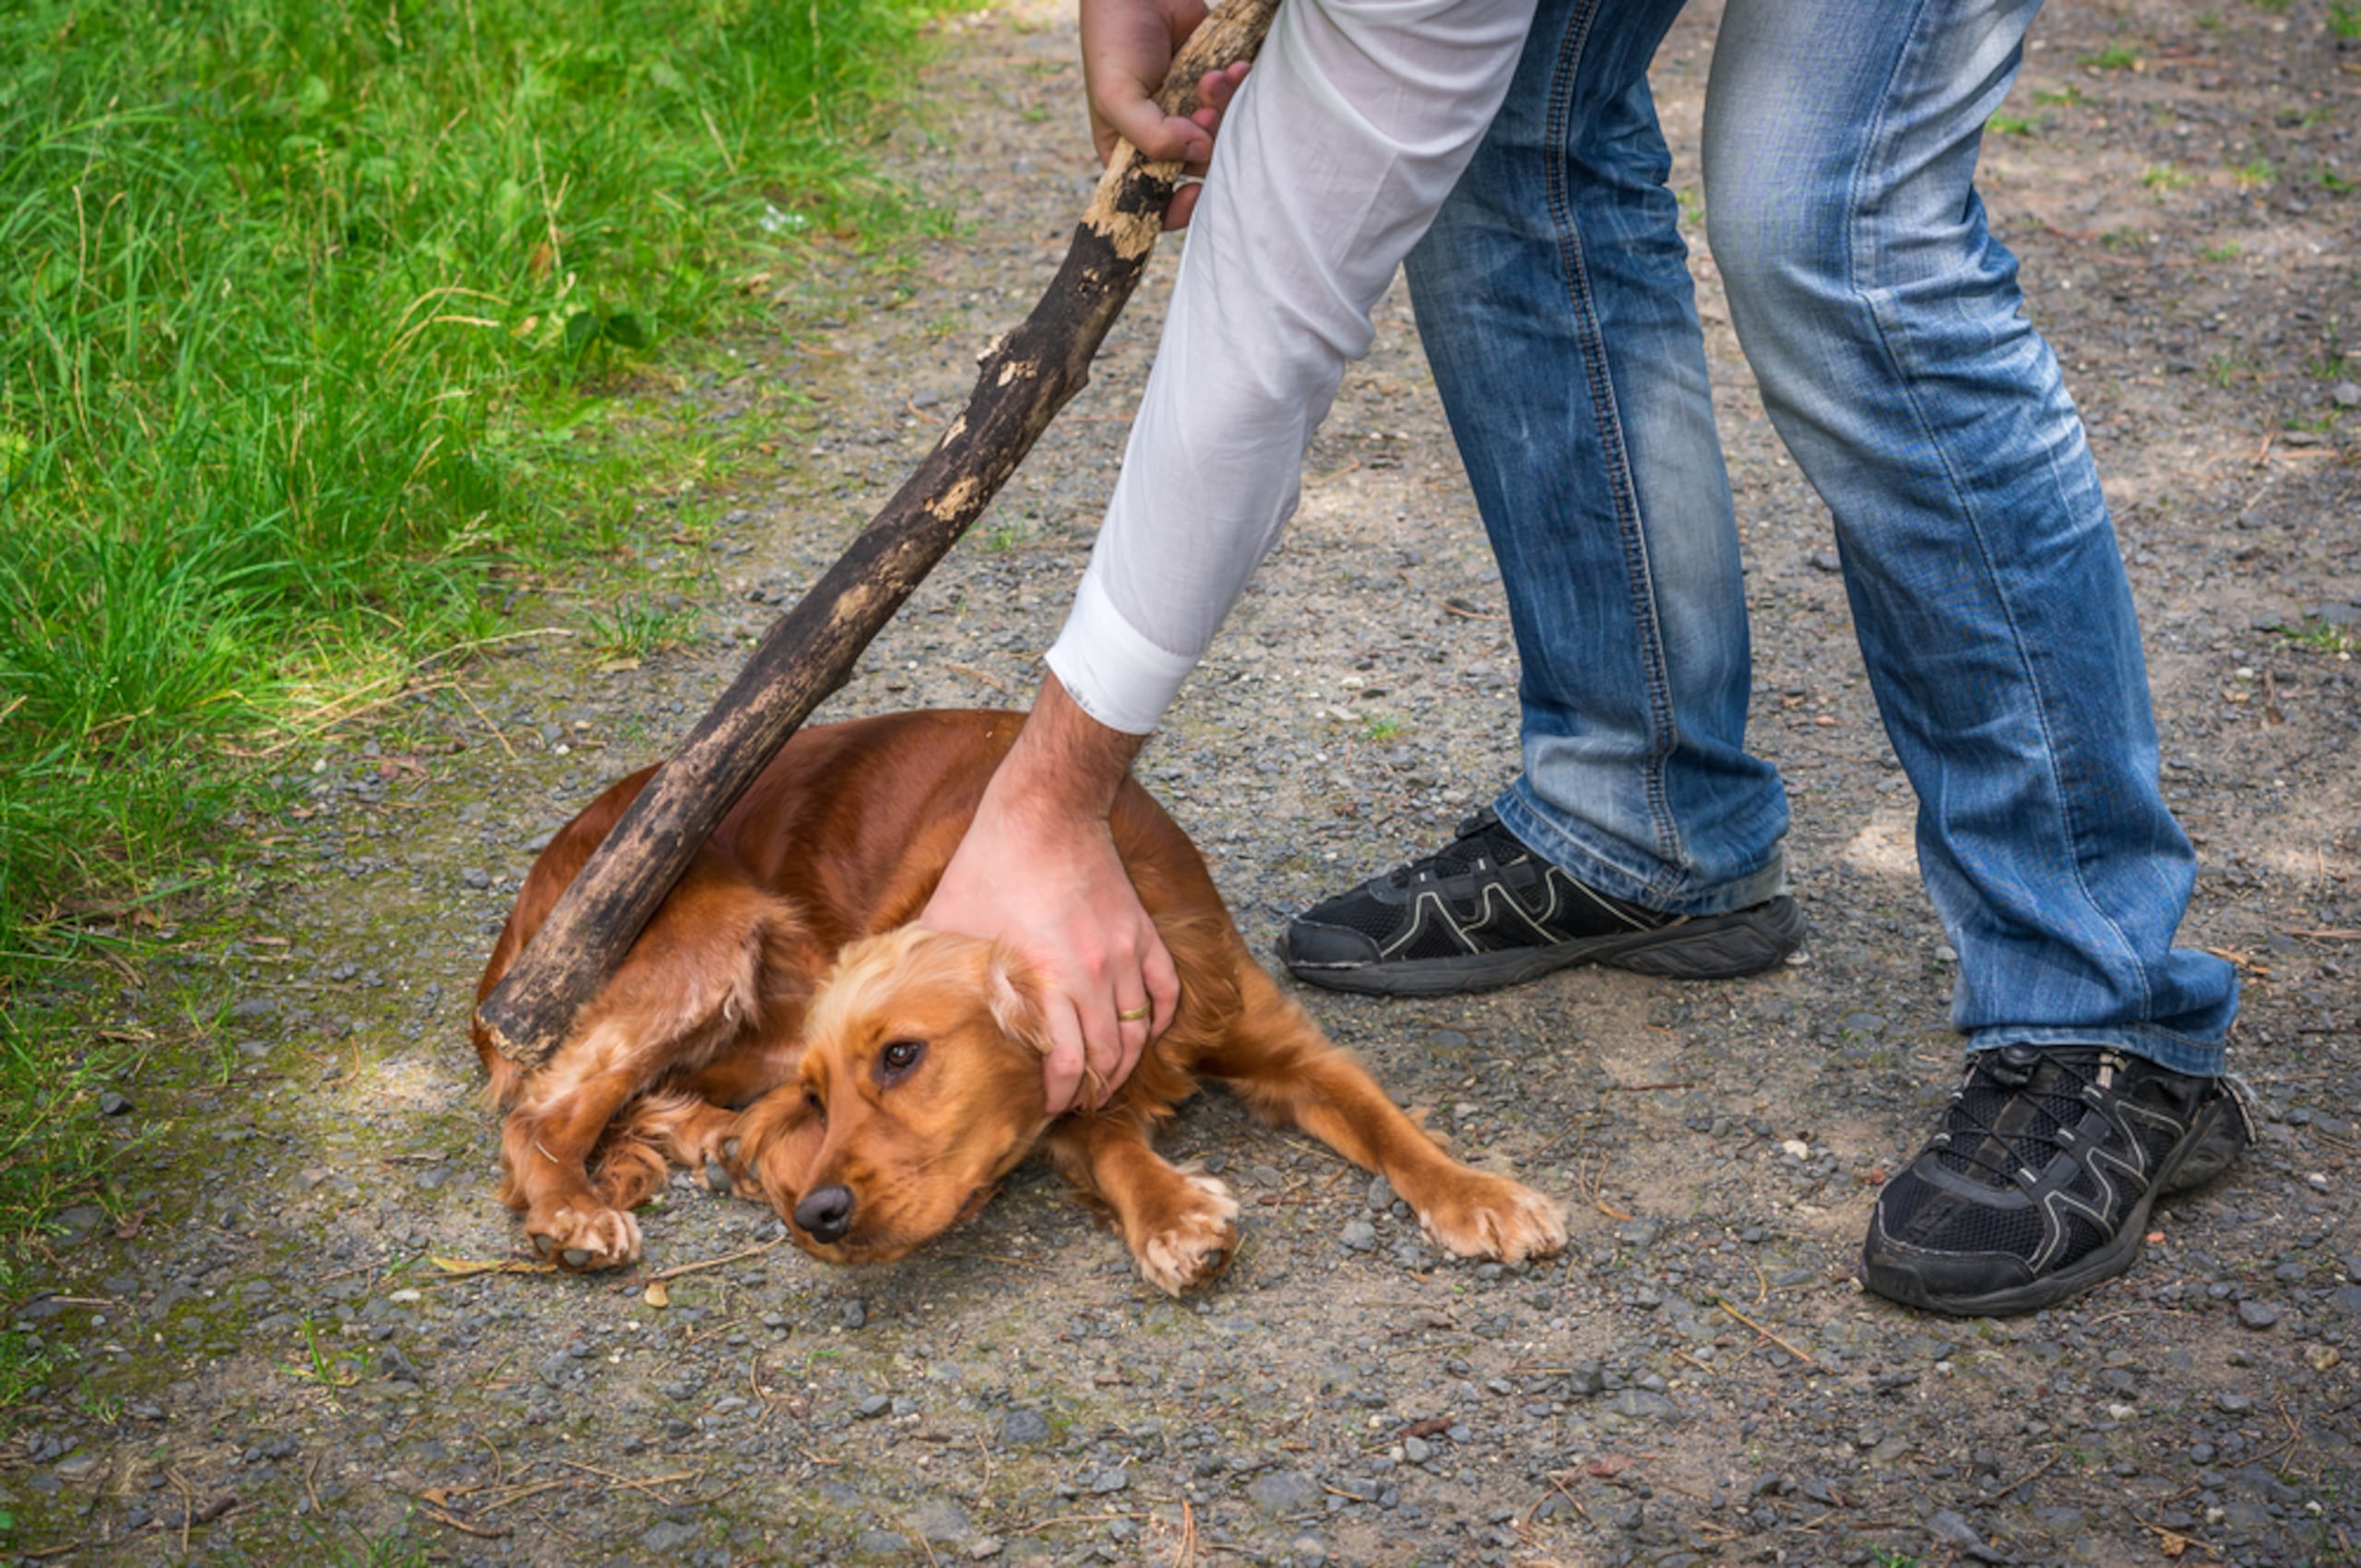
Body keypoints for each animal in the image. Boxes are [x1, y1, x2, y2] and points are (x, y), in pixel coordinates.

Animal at [474, 713, 1567, 1294]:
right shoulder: (1062, 1103)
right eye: (829, 1095)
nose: (819, 1215)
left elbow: (1390, 1126)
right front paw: (1175, 1215)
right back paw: (575, 1210)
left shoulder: (1283, 1045)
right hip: (709, 940)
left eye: (902, 1056)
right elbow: (1115, 1147)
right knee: (543, 1109)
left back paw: (715, 1148)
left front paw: (1481, 1193)